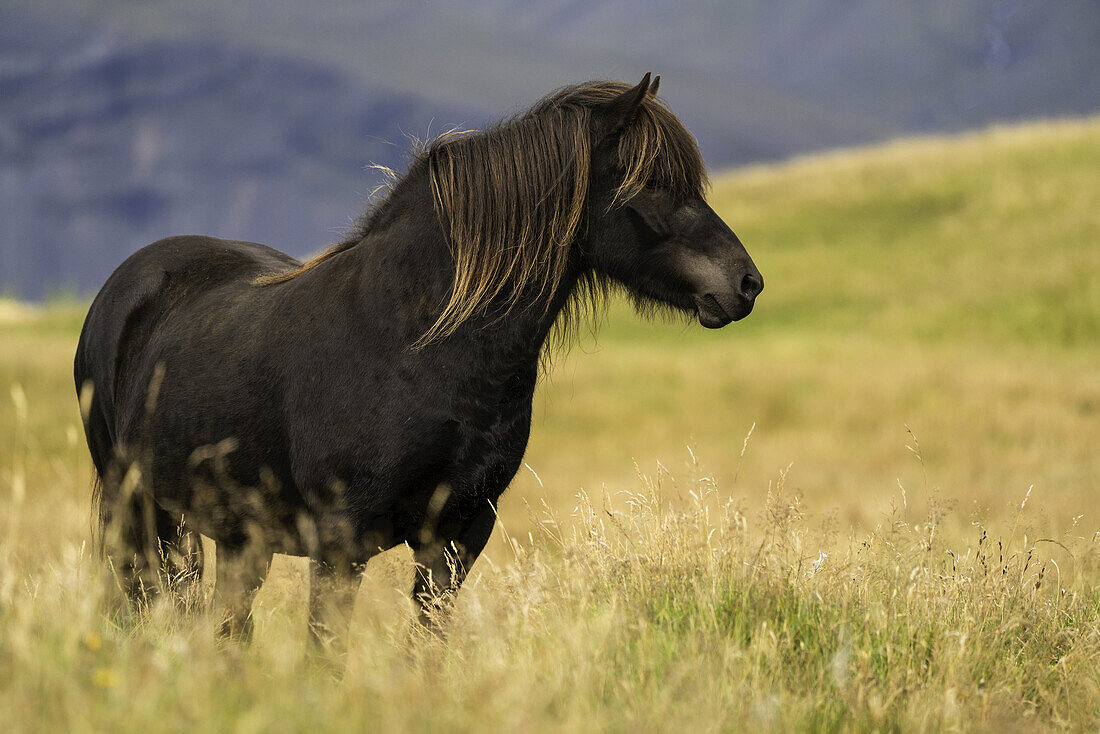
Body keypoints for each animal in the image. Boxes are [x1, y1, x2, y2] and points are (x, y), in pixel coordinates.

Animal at [75, 71, 765, 638]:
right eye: (653, 185)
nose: (746, 284)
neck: (415, 346)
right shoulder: (340, 542)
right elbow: (325, 651)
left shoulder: (457, 537)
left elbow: (426, 648)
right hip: (133, 511)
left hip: (239, 536)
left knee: (227, 628)